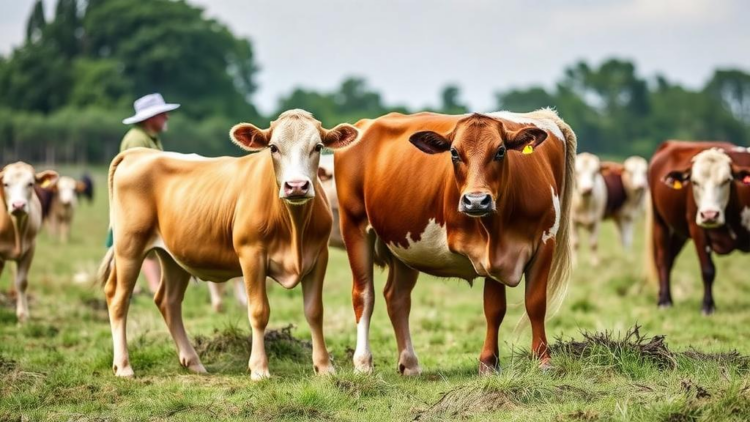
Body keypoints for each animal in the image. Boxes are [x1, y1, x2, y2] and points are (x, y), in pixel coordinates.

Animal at [0, 162, 58, 322]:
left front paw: (23, 316)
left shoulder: (30, 249)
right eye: (6, 184)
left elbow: (21, 282)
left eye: (30, 184)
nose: (18, 205)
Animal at [97, 109, 359, 378]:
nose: (296, 186)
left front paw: (325, 367)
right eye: (273, 147)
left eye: (317, 147)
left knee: (168, 301)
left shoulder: (319, 256)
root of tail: (138, 154)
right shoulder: (251, 255)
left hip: (173, 257)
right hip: (129, 246)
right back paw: (124, 366)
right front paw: (259, 369)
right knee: (118, 297)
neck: (293, 224)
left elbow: (314, 311)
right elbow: (258, 311)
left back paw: (194, 362)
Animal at [334, 109, 576, 375]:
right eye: (454, 153)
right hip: (354, 225)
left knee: (397, 298)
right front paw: (489, 362)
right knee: (364, 295)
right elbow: (495, 308)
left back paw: (410, 363)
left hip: (404, 245)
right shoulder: (490, 254)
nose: (476, 201)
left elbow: (533, 303)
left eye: (500, 150)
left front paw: (542, 359)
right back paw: (363, 362)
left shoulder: (543, 243)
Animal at [647, 141, 750, 315]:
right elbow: (708, 270)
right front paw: (707, 306)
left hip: (679, 234)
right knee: (663, 260)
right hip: (660, 222)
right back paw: (665, 301)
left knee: (670, 259)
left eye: (727, 180)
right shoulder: (698, 231)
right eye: (694, 182)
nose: (709, 214)